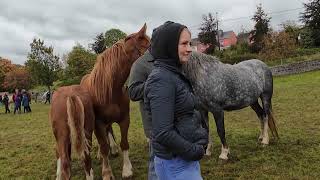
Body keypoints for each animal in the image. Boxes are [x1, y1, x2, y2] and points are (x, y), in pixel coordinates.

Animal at [50, 24, 150, 180]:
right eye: (149, 46)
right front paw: (107, 172)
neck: (111, 89)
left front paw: (126, 169)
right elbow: (103, 147)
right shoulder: (98, 123)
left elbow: (124, 143)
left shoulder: (124, 119)